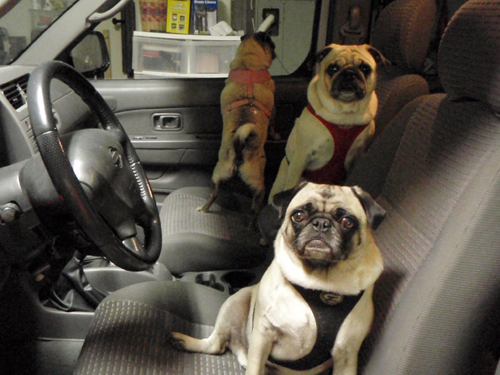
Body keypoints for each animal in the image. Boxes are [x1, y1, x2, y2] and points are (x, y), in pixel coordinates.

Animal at [173, 183, 386, 375]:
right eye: (298, 215)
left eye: (347, 221)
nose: (321, 223)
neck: (318, 284)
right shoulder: (263, 334)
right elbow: (255, 368)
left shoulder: (346, 353)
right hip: (234, 302)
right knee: (216, 343)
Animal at [196, 32, 278, 222]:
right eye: (272, 44)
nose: (275, 49)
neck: (248, 65)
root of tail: (240, 145)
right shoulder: (274, 108)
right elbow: (273, 124)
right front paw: (276, 134)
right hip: (259, 186)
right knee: (255, 209)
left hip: (218, 174)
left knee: (214, 194)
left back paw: (204, 208)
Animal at [268, 43, 388, 206]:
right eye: (333, 68)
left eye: (365, 68)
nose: (349, 73)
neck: (345, 115)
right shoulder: (301, 157)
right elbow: (292, 183)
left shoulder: (358, 156)